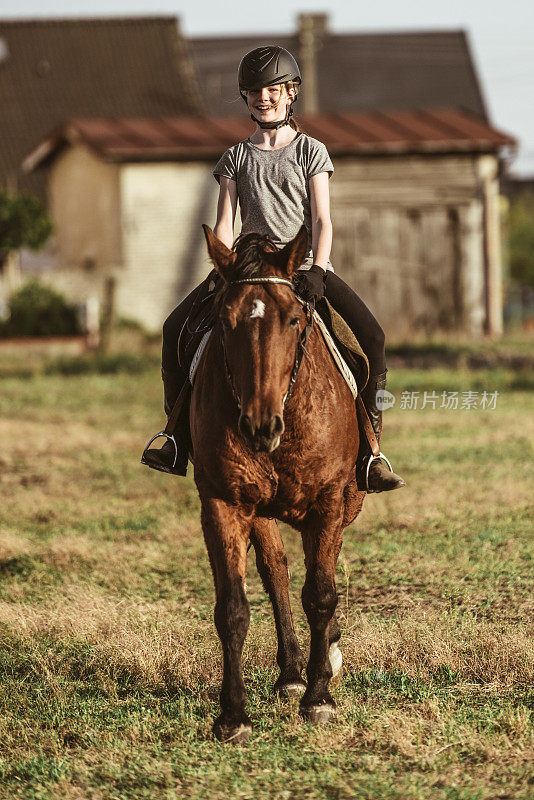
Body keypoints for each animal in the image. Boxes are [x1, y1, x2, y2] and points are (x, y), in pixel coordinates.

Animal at [191, 225, 366, 744]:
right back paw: (291, 672)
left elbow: (322, 595)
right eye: (224, 321)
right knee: (278, 572)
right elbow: (233, 607)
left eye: (293, 319)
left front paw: (320, 698)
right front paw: (233, 716)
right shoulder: (225, 502)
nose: (259, 426)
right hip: (260, 511)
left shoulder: (329, 501)